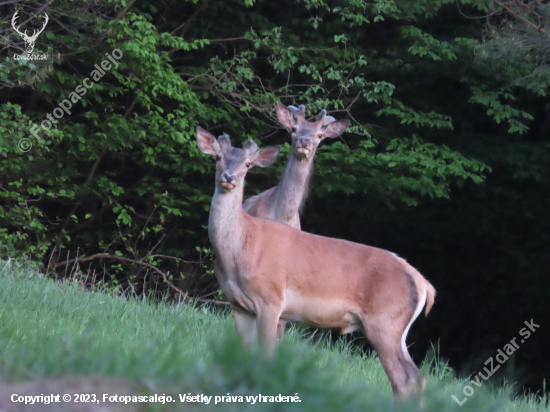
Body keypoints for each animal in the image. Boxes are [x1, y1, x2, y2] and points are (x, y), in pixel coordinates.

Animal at [196, 126, 438, 400]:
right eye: (218, 157)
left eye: (248, 164)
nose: (229, 177)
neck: (239, 250)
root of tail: (424, 284)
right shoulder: (237, 305)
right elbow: (242, 355)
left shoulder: (271, 299)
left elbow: (266, 357)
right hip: (397, 329)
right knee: (417, 378)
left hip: (385, 321)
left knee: (404, 380)